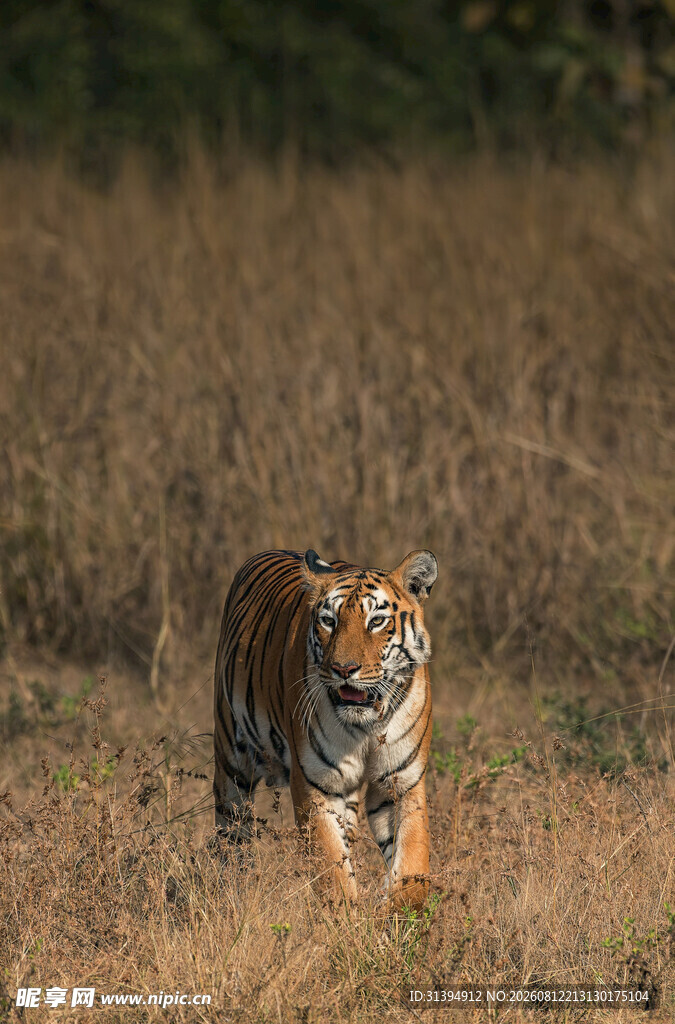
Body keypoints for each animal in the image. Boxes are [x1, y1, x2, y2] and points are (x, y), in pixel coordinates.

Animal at [213, 547, 437, 911]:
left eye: (377, 621)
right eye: (328, 621)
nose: (344, 669)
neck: (367, 725)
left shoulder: (402, 782)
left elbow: (412, 864)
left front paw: (399, 914)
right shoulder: (315, 785)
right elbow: (332, 872)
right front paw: (346, 920)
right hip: (232, 760)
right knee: (232, 834)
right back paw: (233, 889)